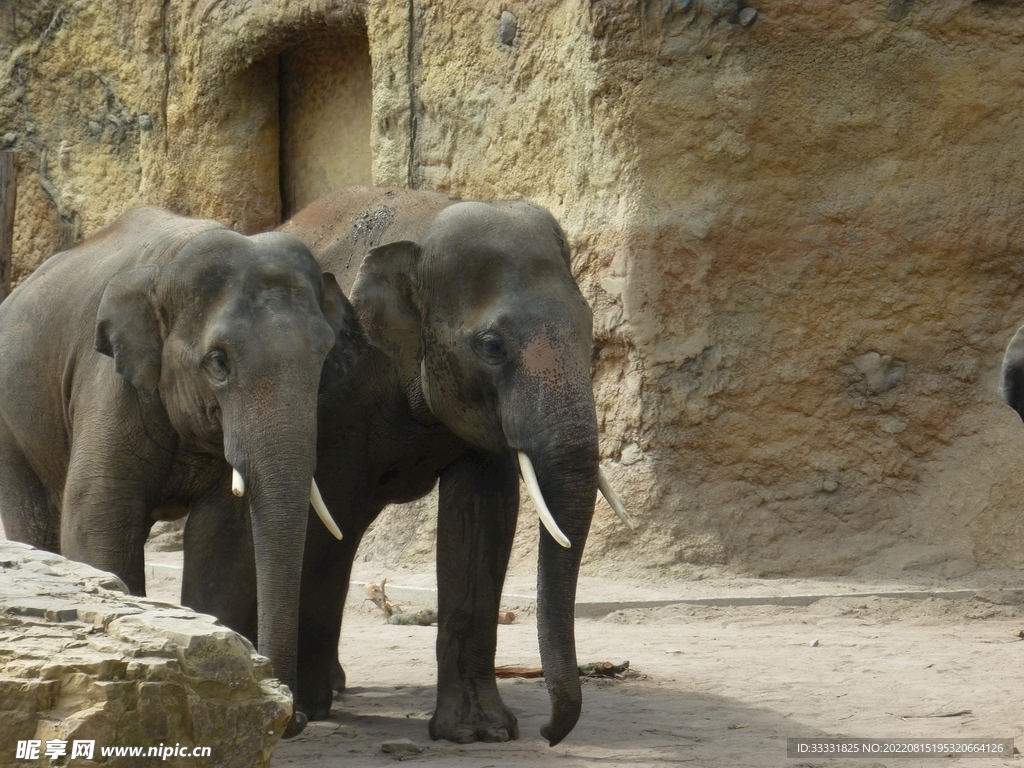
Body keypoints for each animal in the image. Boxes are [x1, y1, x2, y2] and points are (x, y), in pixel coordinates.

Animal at [0, 206, 362, 739]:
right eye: (219, 362)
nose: (294, 719)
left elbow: (224, 539)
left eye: (323, 357)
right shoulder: (108, 384)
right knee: (37, 522)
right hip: (15, 429)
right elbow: (99, 520)